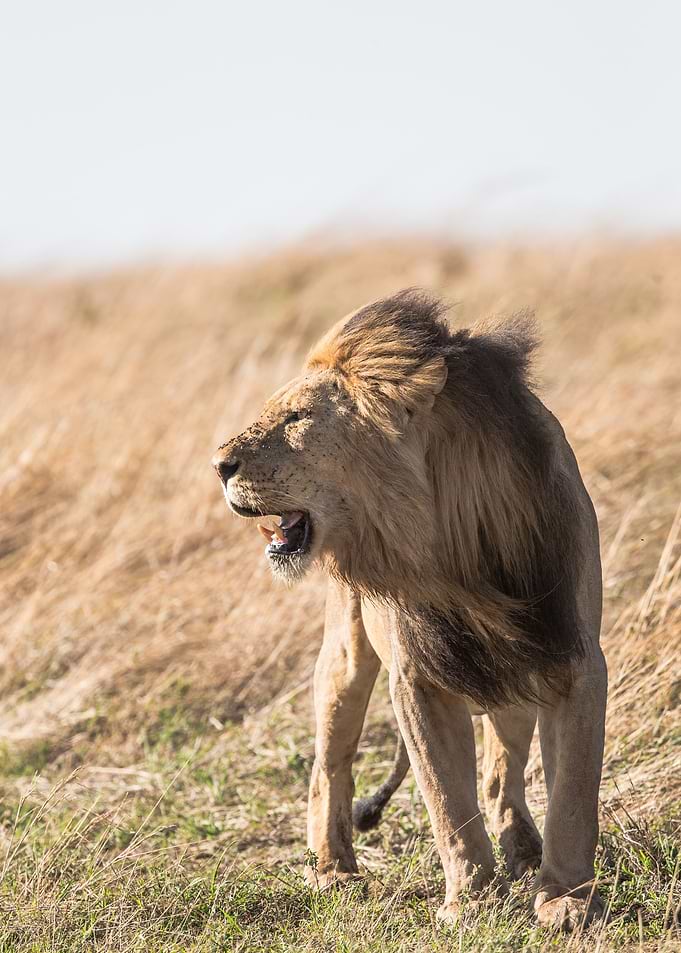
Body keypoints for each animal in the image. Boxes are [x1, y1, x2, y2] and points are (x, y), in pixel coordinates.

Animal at [213, 291, 607, 930]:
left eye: (296, 419)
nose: (217, 465)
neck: (454, 544)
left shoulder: (570, 656)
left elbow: (572, 792)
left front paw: (567, 901)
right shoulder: (417, 678)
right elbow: (448, 801)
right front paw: (470, 903)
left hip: (513, 677)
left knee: (500, 773)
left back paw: (523, 848)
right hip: (345, 656)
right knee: (329, 765)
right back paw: (334, 871)